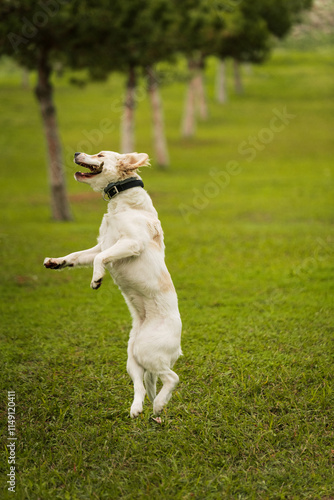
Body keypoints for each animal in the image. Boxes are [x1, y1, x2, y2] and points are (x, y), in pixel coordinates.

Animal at [44, 152, 183, 418]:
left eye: (99, 154)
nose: (76, 153)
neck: (123, 204)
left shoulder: (130, 243)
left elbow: (100, 258)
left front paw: (97, 278)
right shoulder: (102, 243)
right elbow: (78, 256)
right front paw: (56, 262)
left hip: (150, 352)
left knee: (172, 378)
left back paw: (159, 404)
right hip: (133, 359)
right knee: (142, 386)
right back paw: (138, 409)